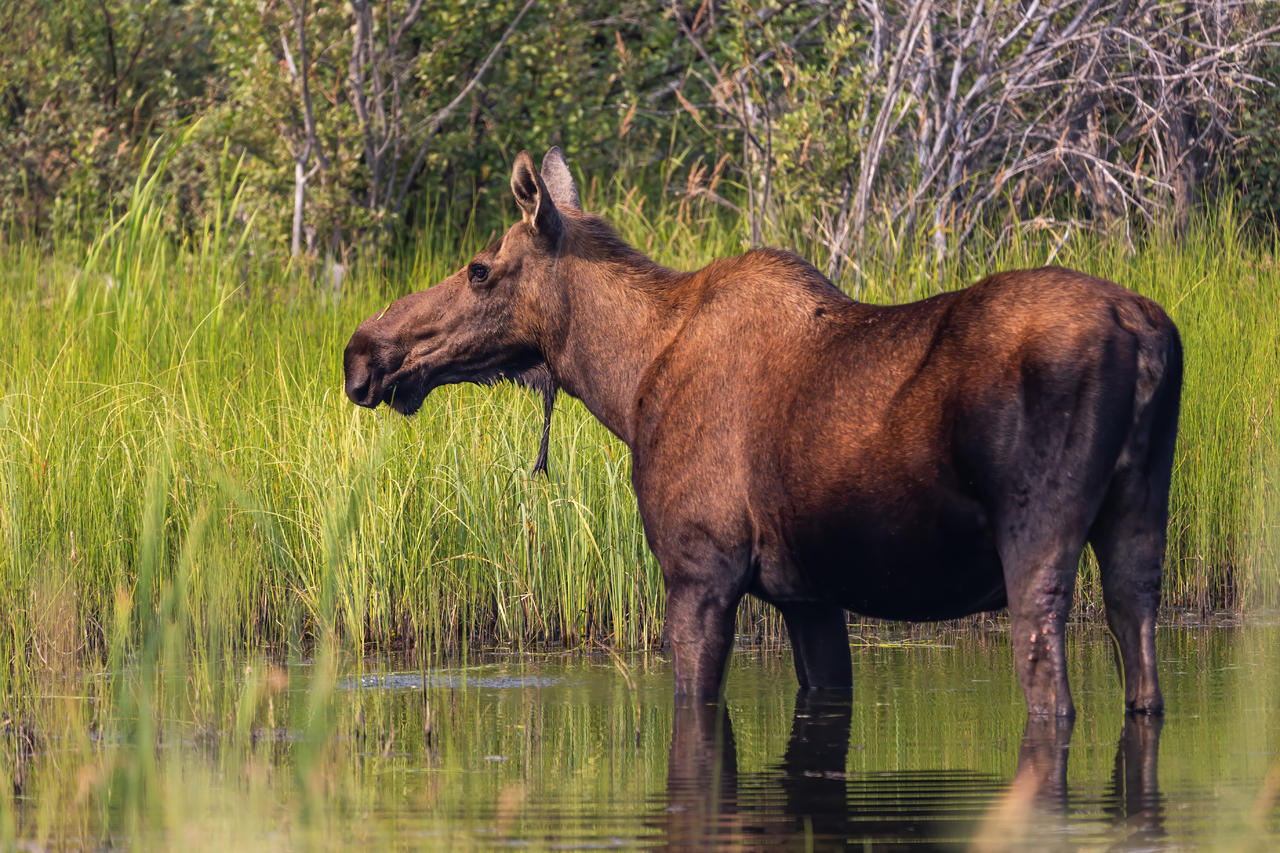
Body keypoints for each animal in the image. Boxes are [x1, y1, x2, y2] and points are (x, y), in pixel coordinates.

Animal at [345, 147, 1182, 717]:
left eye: (479, 270)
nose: (362, 352)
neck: (624, 382)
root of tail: (1146, 334)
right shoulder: (809, 595)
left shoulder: (700, 569)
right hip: (1140, 527)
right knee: (1142, 663)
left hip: (1035, 541)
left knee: (1053, 693)